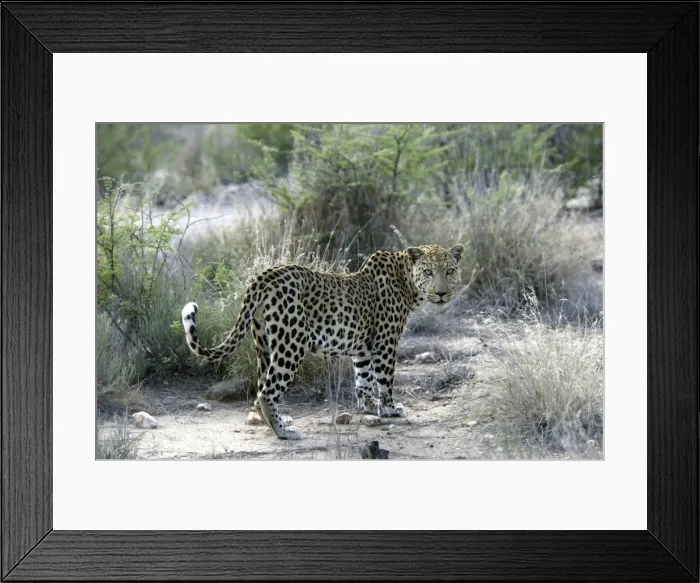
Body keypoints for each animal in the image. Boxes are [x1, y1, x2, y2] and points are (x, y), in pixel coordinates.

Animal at [181, 243, 465, 440]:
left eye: (450, 271)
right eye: (428, 272)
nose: (442, 293)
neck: (408, 282)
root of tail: (264, 276)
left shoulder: (363, 348)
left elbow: (363, 380)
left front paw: (369, 406)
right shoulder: (385, 343)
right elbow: (385, 380)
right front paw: (390, 408)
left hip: (263, 342)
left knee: (261, 385)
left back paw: (278, 420)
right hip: (291, 343)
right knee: (267, 390)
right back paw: (284, 432)